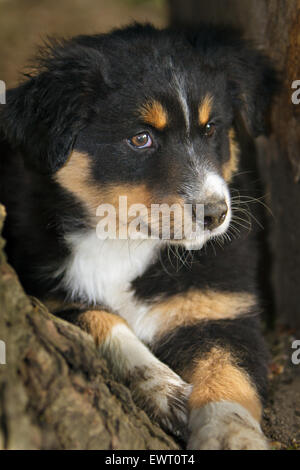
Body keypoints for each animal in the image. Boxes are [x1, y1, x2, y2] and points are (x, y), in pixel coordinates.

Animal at [0, 23, 276, 450]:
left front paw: (232, 436)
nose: (215, 214)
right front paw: (163, 388)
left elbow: (229, 376)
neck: (122, 241)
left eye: (211, 128)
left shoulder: (220, 308)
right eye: (141, 139)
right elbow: (100, 319)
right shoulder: (44, 293)